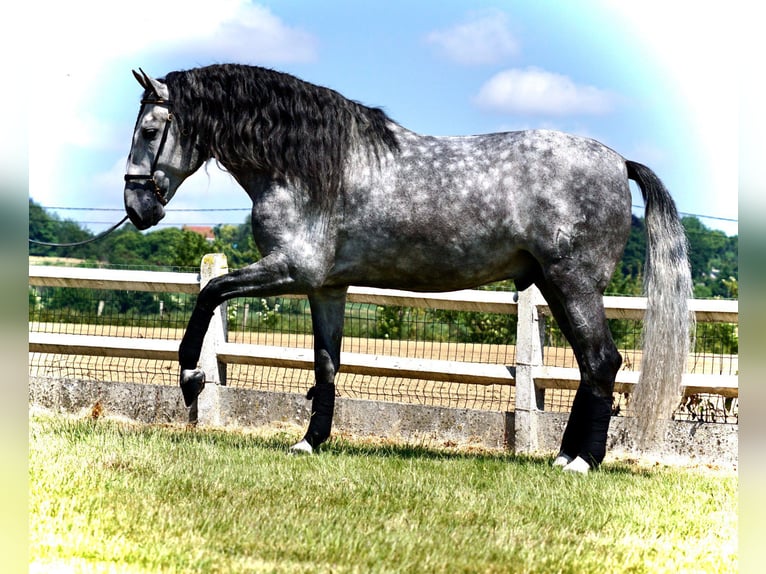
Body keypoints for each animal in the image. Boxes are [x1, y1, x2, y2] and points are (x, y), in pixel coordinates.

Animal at [123, 64, 693, 473]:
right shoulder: (326, 287)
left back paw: (581, 462)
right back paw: (566, 455)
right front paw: (310, 442)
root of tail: (618, 162)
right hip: (556, 285)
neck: (308, 166)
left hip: (574, 285)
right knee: (590, 366)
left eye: (150, 130)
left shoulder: (290, 269)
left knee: (602, 362)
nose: (137, 207)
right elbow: (326, 364)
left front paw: (191, 378)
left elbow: (209, 293)